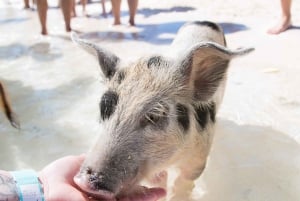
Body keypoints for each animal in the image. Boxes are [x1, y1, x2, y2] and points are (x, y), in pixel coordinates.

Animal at [71, 21, 254, 200]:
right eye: (104, 108)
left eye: (154, 115)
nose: (85, 182)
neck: (172, 159)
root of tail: (205, 21)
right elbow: (160, 180)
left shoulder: (198, 160)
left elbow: (184, 182)